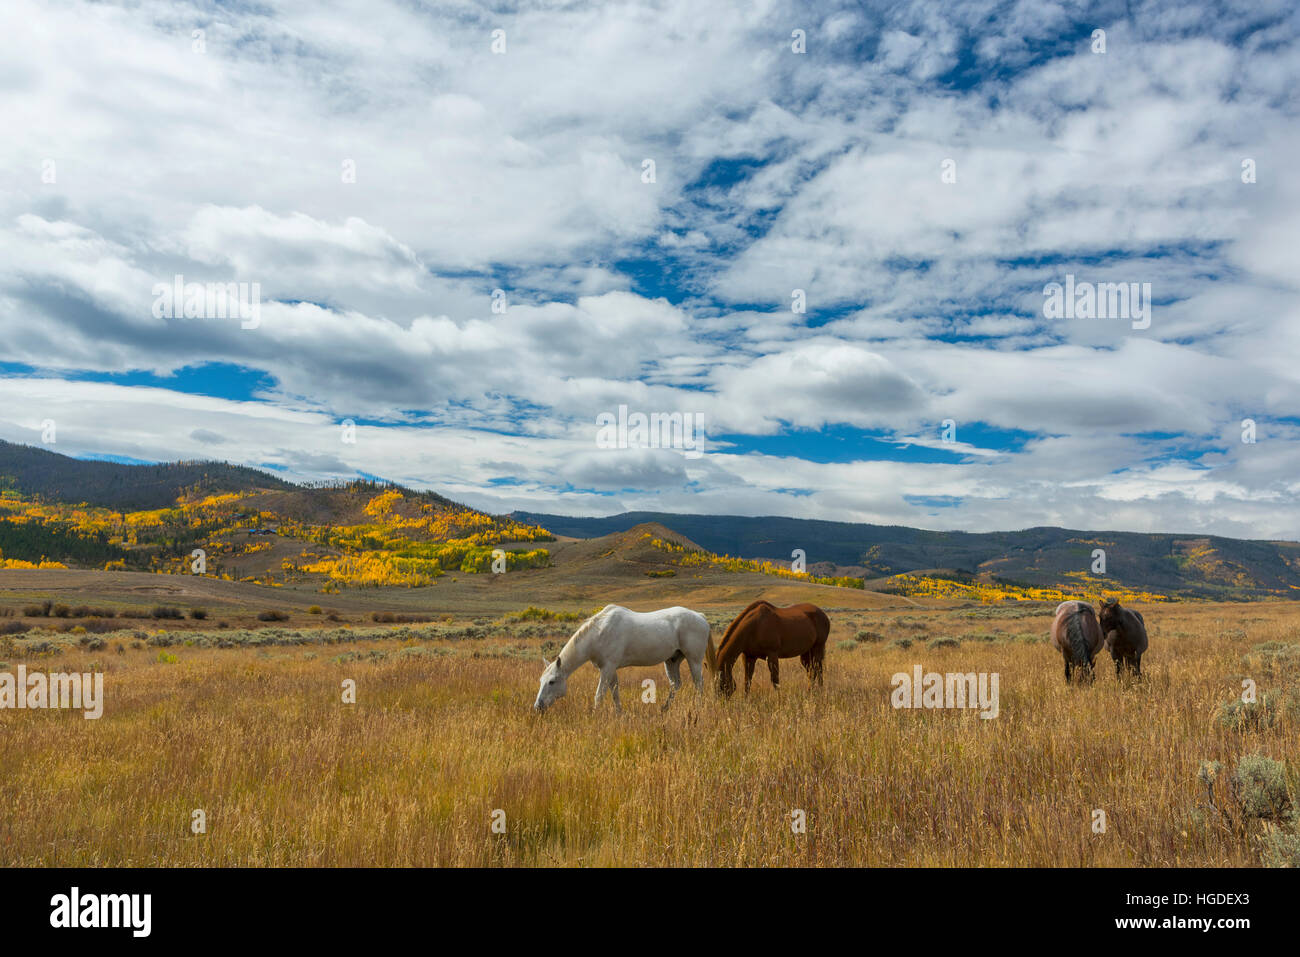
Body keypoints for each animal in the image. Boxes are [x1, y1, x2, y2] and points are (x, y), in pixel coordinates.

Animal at [530, 600, 717, 712]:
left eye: (552, 681)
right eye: (540, 681)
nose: (538, 706)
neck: (600, 632)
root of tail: (700, 617)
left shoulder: (607, 669)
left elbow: (599, 694)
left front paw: (595, 714)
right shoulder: (610, 669)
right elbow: (614, 693)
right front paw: (619, 714)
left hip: (694, 660)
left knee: (698, 684)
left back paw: (697, 708)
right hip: (672, 661)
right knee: (675, 684)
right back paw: (664, 709)